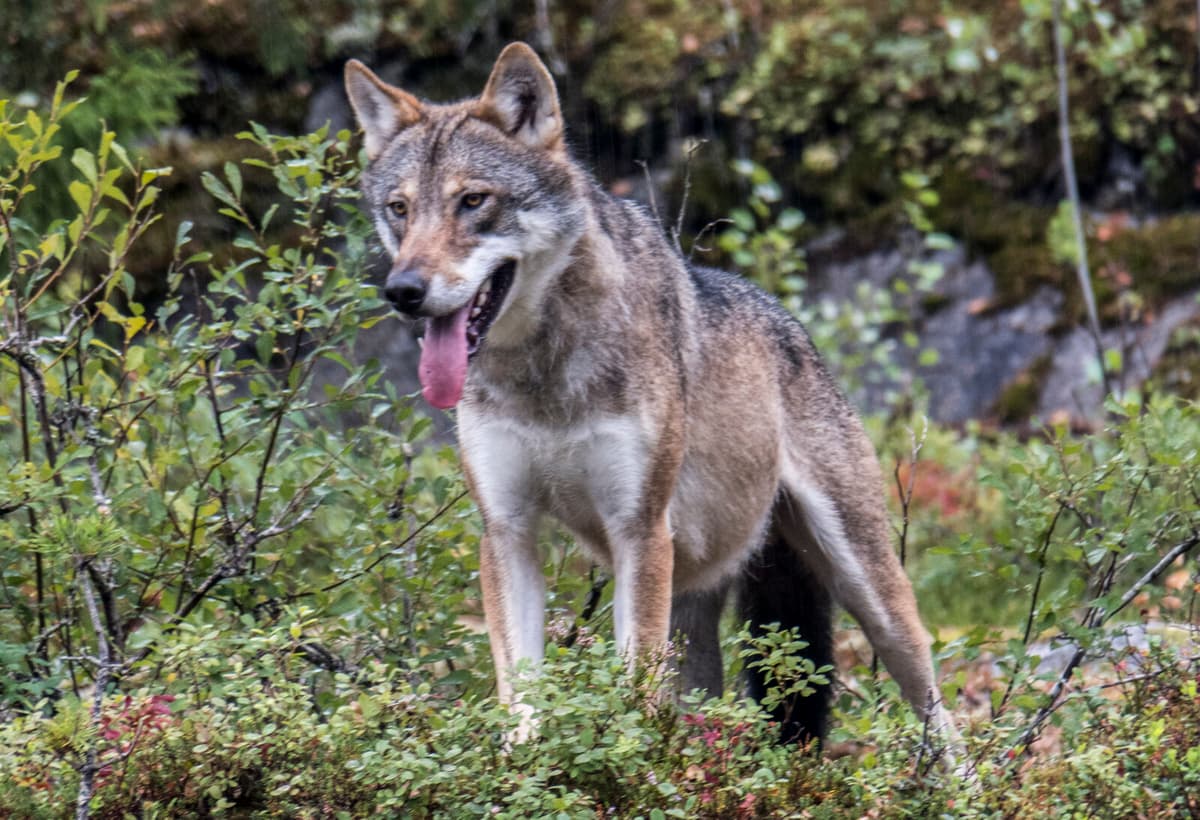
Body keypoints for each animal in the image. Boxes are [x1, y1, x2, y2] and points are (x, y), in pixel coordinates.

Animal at [344, 43, 954, 747]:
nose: (403, 291)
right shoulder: (507, 531)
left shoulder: (638, 530)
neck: (543, 375)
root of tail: (791, 322)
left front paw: (625, 757)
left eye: (473, 201)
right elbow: (520, 690)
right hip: (697, 612)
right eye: (400, 209)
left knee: (938, 708)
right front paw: (522, 759)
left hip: (867, 589)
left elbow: (632, 689)